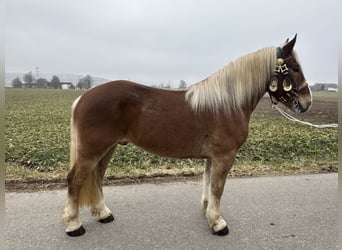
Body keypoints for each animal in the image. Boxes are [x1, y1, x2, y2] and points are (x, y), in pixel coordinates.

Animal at [62, 35, 312, 236]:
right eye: (295, 68)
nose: (307, 102)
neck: (228, 103)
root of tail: (83, 97)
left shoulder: (213, 157)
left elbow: (209, 183)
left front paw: (208, 213)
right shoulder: (225, 156)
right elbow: (217, 188)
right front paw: (218, 223)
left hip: (107, 149)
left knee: (96, 178)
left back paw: (103, 213)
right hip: (92, 150)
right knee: (75, 180)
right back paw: (74, 225)